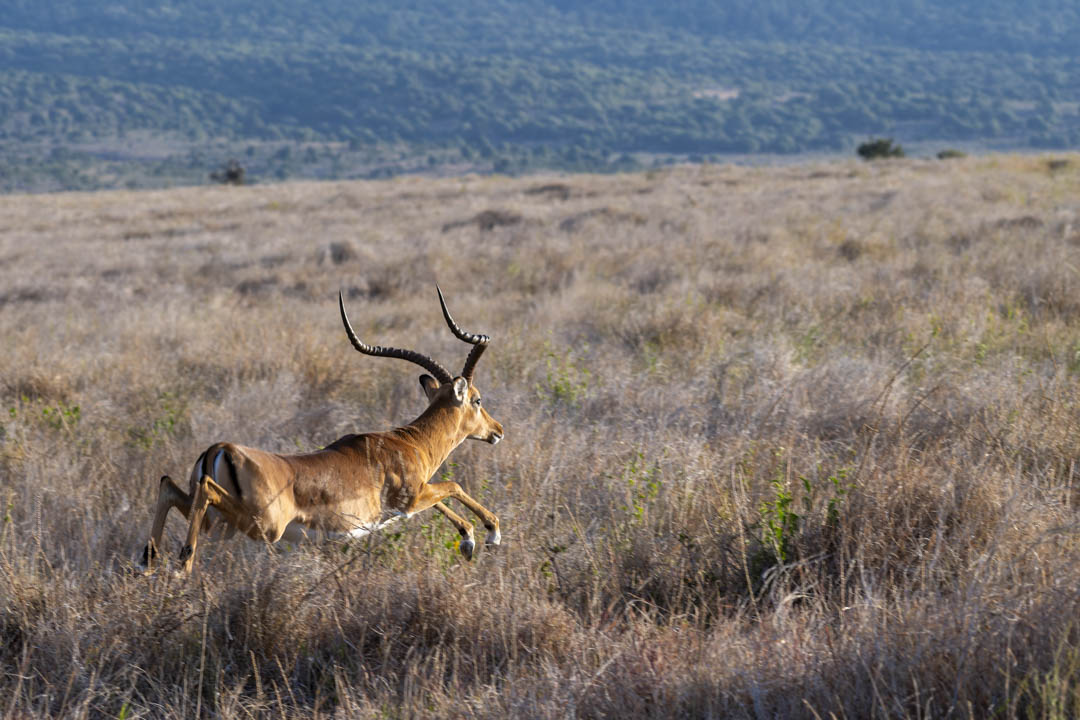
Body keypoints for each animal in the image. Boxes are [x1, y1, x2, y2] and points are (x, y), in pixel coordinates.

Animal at [140, 287, 504, 573]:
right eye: (477, 399)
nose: (497, 430)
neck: (409, 443)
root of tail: (220, 449)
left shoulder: (413, 499)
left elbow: (443, 497)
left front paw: (469, 539)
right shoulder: (411, 497)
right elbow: (453, 486)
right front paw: (486, 535)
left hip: (221, 523)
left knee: (169, 485)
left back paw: (148, 562)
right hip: (263, 525)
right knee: (202, 489)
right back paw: (181, 565)